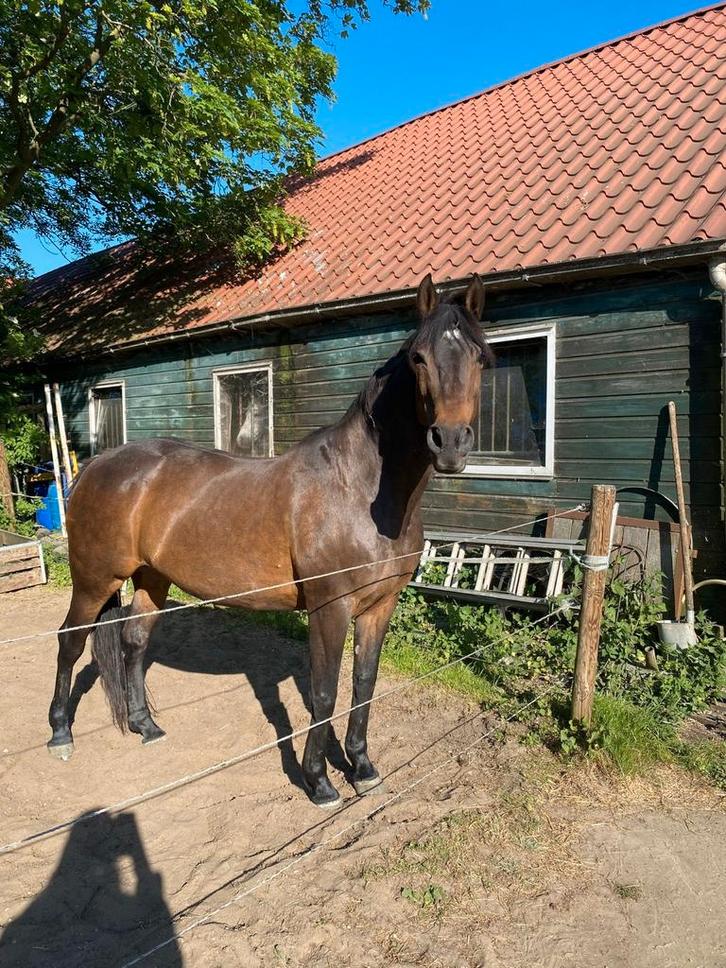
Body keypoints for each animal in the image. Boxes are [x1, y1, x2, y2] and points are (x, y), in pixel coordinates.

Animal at [47, 273, 492, 808]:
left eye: (481, 357)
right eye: (419, 358)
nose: (451, 443)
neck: (360, 488)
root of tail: (97, 464)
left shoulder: (379, 606)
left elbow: (364, 684)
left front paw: (362, 766)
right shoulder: (329, 608)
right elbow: (324, 691)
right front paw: (319, 781)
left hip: (152, 578)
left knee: (134, 641)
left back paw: (145, 725)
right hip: (94, 579)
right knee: (71, 641)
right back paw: (60, 734)